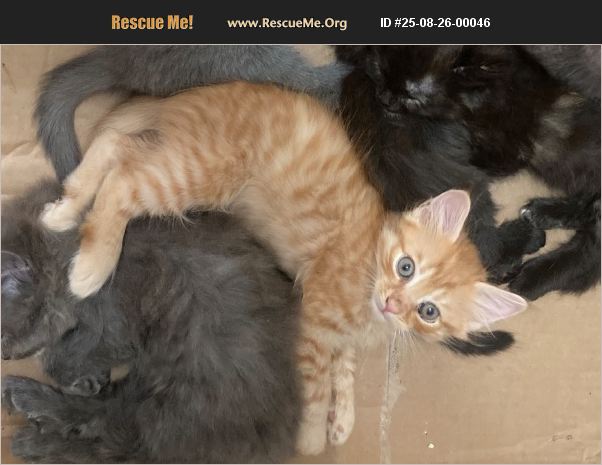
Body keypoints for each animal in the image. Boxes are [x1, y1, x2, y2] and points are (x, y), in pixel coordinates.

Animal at [2, 181, 301, 463]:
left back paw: (29, 427)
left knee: (116, 435)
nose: (5, 358)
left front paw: (81, 377)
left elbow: (62, 356)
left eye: (3, 338)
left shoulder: (113, 320)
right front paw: (90, 377)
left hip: (181, 392)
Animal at [40, 82, 527, 455]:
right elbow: (316, 382)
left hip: (179, 159)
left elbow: (345, 365)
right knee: (122, 182)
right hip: (201, 173)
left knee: (117, 147)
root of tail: (194, 94)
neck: (368, 262)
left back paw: (64, 208)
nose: (393, 302)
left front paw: (343, 418)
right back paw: (90, 266)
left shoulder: (343, 332)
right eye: (405, 266)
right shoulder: (313, 318)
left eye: (428, 312)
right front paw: (312, 438)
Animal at [335, 45, 600, 301]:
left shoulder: (509, 147)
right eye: (379, 70)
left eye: (412, 97)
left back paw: (531, 277)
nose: (384, 98)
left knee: (588, 252)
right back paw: (540, 216)